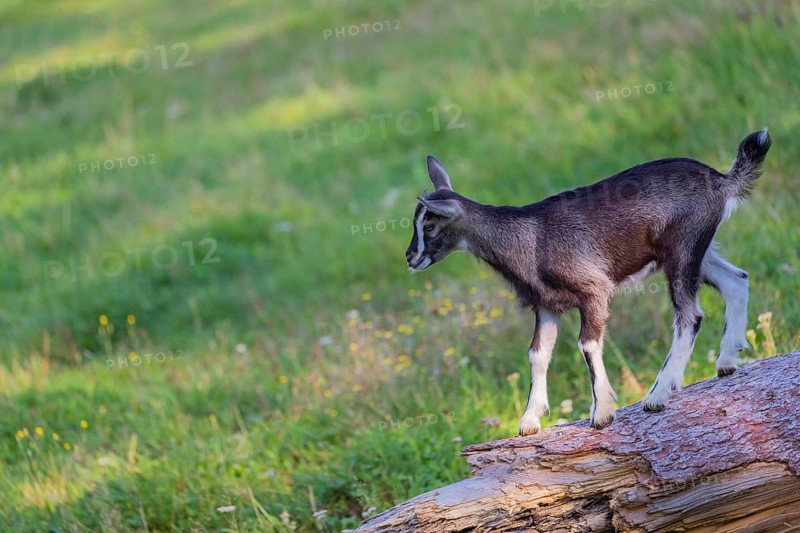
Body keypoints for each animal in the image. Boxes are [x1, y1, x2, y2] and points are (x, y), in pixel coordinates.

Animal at [405, 129, 771, 435]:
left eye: (430, 226)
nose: (410, 257)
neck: (529, 238)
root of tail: (721, 180)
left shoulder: (593, 291)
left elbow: (587, 345)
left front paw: (602, 412)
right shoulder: (547, 304)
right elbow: (537, 353)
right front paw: (530, 421)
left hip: (683, 249)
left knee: (690, 316)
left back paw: (657, 395)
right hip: (698, 250)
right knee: (737, 280)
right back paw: (726, 362)